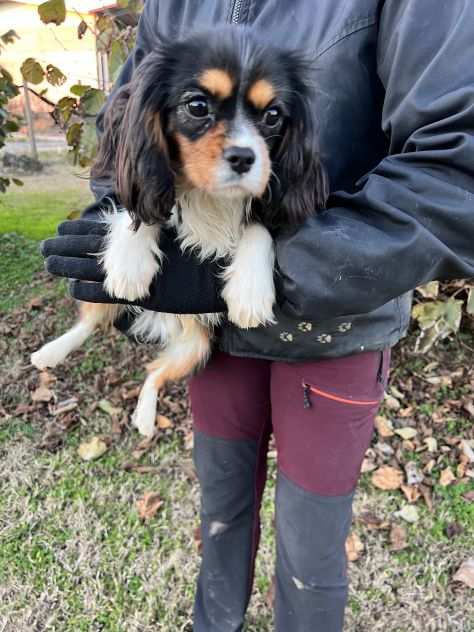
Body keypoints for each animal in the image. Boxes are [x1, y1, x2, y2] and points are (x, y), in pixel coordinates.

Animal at [31, 27, 328, 436]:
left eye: (272, 116)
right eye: (198, 106)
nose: (245, 157)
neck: (207, 195)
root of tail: (166, 323)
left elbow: (259, 227)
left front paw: (251, 291)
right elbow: (141, 208)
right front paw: (130, 264)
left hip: (196, 348)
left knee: (154, 371)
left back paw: (143, 417)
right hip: (98, 294)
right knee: (91, 321)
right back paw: (49, 353)